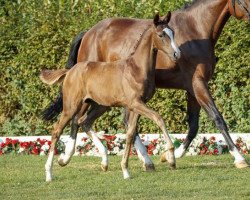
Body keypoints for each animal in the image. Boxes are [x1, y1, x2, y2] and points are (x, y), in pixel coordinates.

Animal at [42, 12, 181, 181]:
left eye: (172, 33)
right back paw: (49, 173)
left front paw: (126, 170)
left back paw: (104, 161)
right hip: (71, 106)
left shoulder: (136, 106)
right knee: (58, 130)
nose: (177, 54)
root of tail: (70, 71)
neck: (136, 69)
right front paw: (171, 157)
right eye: (161, 35)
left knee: (84, 121)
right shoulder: (136, 103)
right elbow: (158, 118)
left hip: (100, 105)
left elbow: (130, 134)